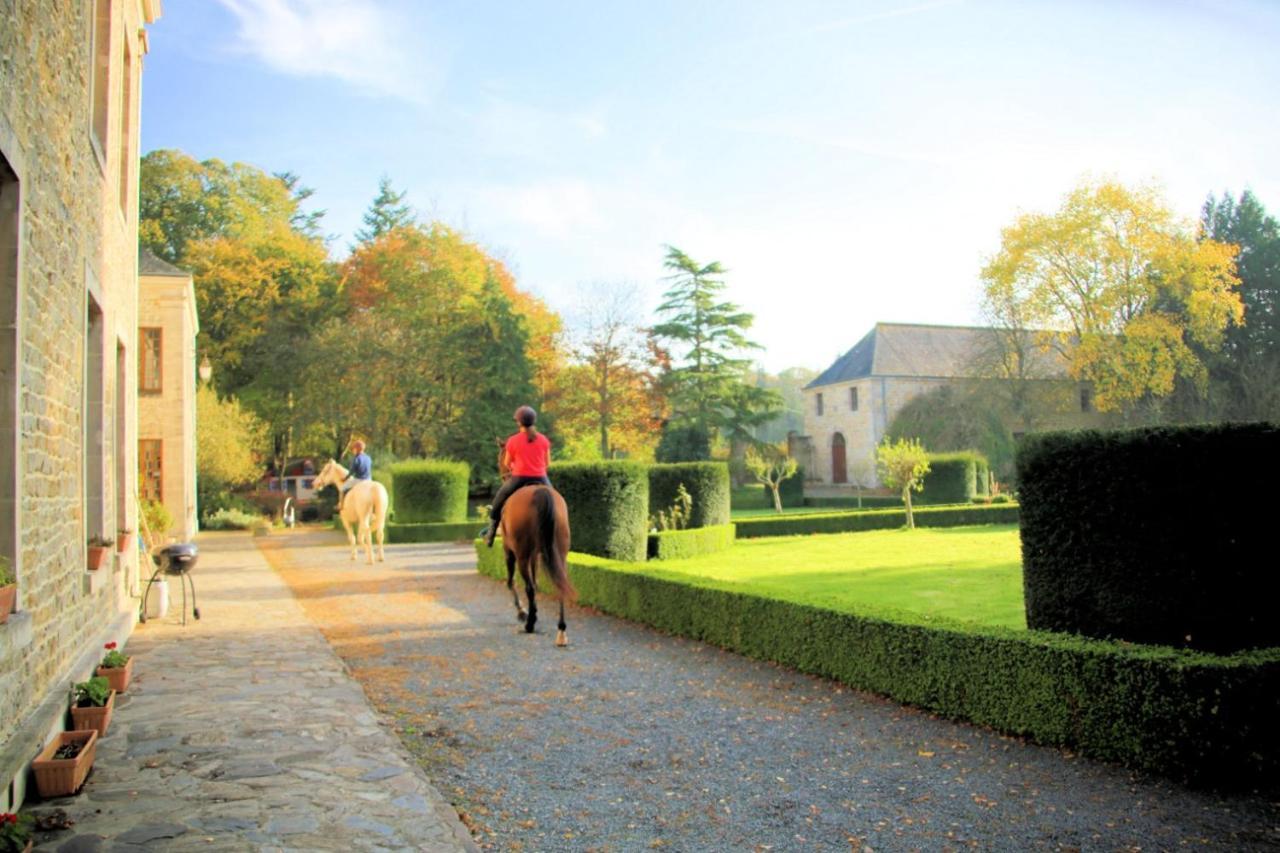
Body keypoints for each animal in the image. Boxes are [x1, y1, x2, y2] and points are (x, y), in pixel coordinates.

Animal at [491, 445, 573, 645]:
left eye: (500, 458)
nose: (503, 473)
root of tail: (541, 493)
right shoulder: (535, 555)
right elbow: (536, 583)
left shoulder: (509, 551)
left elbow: (512, 582)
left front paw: (523, 612)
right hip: (559, 553)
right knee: (559, 583)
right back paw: (561, 630)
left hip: (520, 554)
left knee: (526, 586)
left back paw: (529, 624)